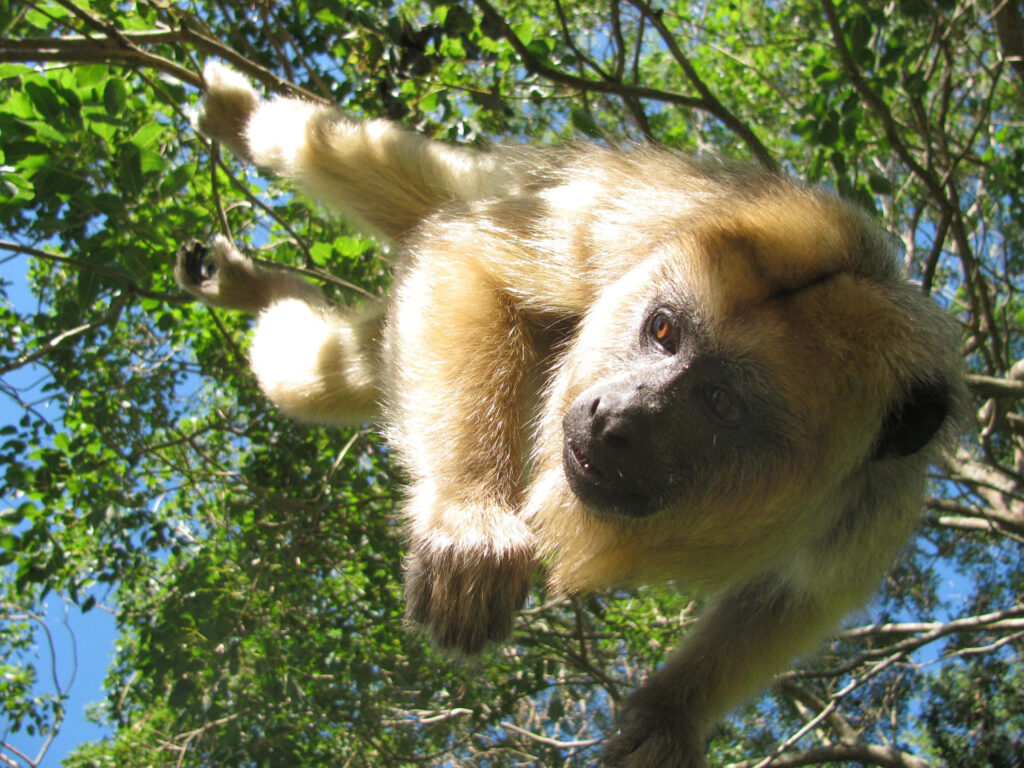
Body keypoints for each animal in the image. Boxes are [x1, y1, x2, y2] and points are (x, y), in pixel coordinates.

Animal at [177, 61, 964, 768]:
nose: (617, 418)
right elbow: (468, 262)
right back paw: (238, 126)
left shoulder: (878, 497)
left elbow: (797, 594)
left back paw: (256, 289)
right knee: (347, 167)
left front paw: (668, 715)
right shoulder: (632, 228)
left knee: (318, 377)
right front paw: (469, 518)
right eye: (663, 331)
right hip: (521, 193)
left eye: (721, 404)